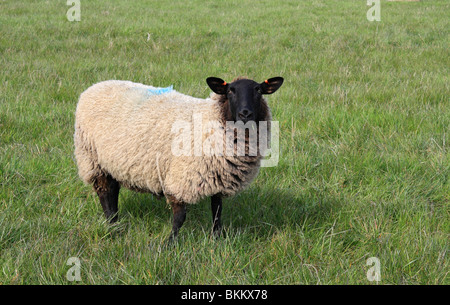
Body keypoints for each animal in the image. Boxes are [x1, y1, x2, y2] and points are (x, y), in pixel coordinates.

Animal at [74, 76, 284, 240]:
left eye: (258, 90)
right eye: (230, 91)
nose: (245, 113)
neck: (213, 119)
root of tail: (96, 86)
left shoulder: (218, 175)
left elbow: (217, 210)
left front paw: (216, 238)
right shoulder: (182, 177)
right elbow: (180, 217)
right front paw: (170, 244)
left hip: (110, 162)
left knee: (113, 190)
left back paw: (116, 223)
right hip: (92, 158)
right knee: (106, 193)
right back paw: (112, 225)